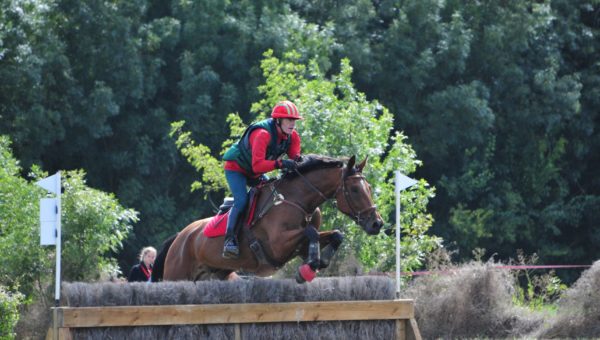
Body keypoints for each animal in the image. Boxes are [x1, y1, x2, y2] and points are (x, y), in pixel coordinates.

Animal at [151, 155, 384, 282]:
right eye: (355, 190)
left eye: (369, 187)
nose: (377, 223)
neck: (297, 199)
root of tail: (180, 237)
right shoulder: (278, 245)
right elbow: (311, 232)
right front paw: (308, 270)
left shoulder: (299, 247)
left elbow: (335, 234)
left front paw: (318, 262)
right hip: (176, 273)